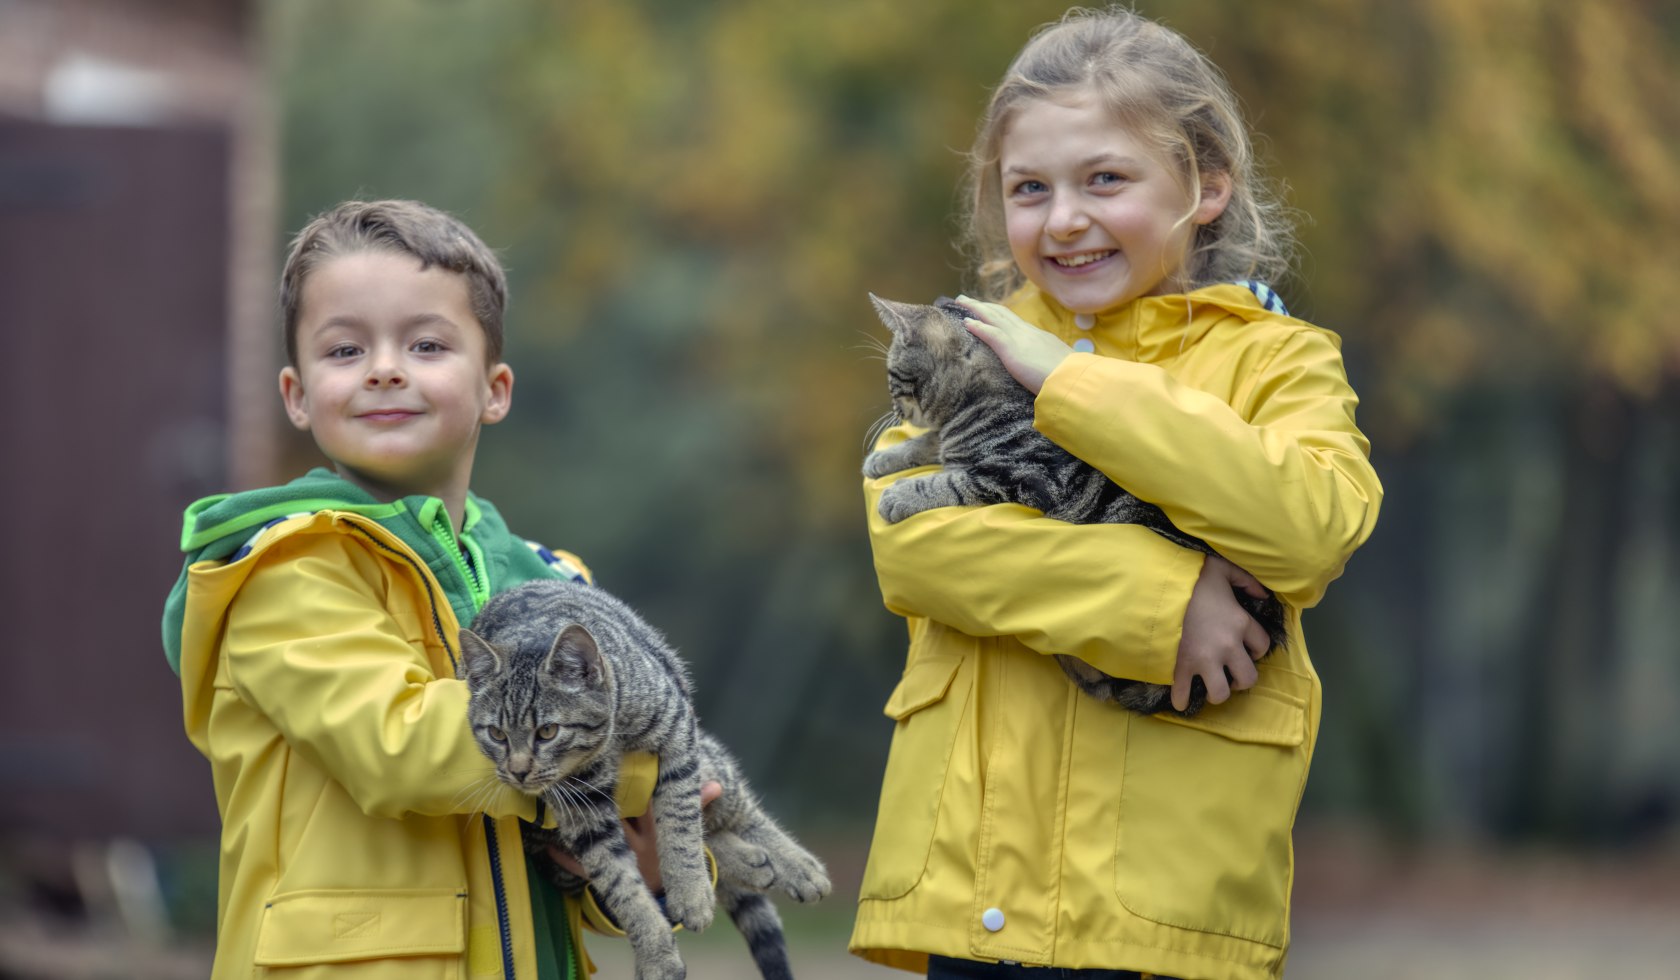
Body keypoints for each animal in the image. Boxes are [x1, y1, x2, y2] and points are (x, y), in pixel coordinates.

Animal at [463, 578, 829, 974]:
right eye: (496, 734)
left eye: (547, 731)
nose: (517, 771)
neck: (605, 747)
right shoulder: (583, 811)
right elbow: (621, 884)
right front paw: (656, 954)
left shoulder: (678, 733)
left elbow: (680, 824)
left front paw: (689, 891)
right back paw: (752, 862)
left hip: (708, 761)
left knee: (740, 813)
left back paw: (798, 866)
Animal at [866, 295, 1283, 716]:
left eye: (892, 375)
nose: (894, 409)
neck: (980, 404)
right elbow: (931, 443)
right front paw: (885, 458)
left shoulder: (1027, 475)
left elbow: (950, 480)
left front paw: (899, 494)